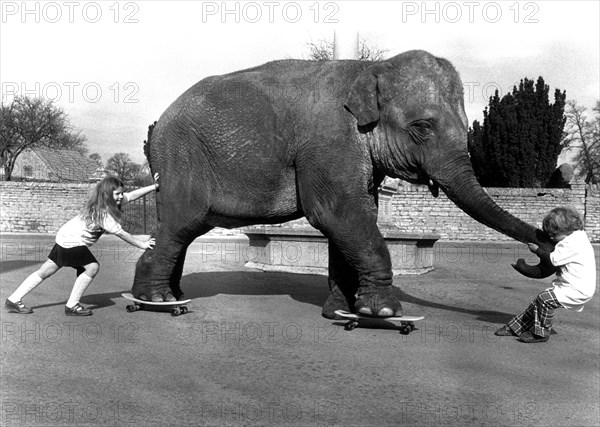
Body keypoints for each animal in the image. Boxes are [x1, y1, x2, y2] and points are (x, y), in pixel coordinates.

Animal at [134, 49, 556, 318]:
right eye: (422, 127)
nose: (531, 252)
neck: (370, 67)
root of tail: (160, 121)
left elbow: (354, 218)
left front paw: (342, 310)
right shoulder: (329, 142)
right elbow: (337, 214)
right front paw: (383, 312)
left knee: (181, 230)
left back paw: (167, 295)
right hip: (183, 156)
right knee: (181, 223)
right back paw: (158, 301)